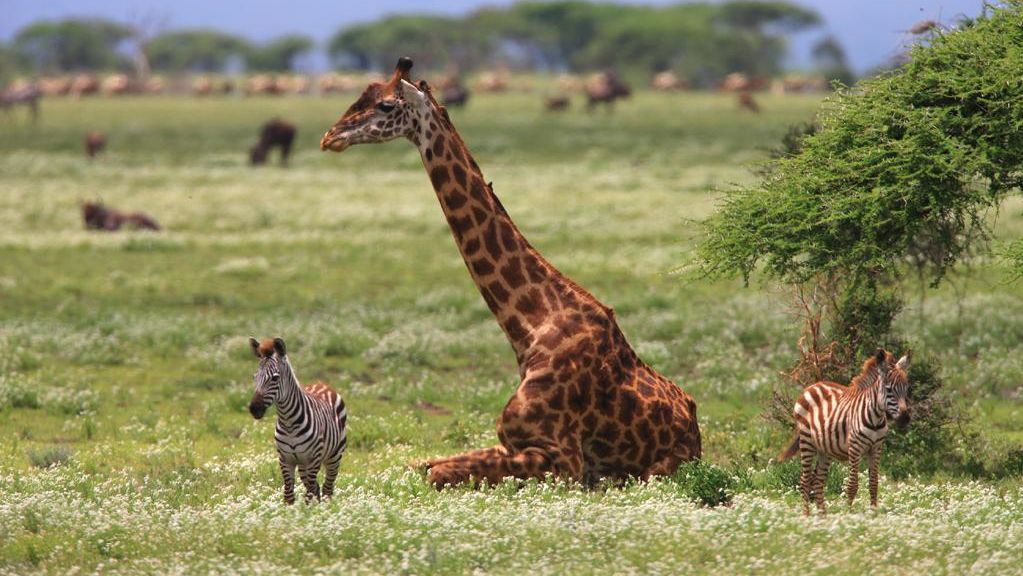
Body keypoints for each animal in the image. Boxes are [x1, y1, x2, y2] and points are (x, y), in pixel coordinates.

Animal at [247, 337, 347, 505]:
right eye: (255, 377)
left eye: (275, 378)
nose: (254, 408)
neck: (289, 423)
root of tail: (321, 384)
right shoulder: (285, 459)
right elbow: (289, 494)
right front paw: (292, 512)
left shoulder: (313, 459)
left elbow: (309, 495)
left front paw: (306, 512)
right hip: (302, 464)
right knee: (317, 487)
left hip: (334, 457)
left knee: (327, 488)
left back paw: (327, 507)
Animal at [319, 58, 703, 489]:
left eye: (385, 105)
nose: (330, 136)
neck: (529, 328)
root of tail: (696, 426)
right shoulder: (508, 442)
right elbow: (420, 465)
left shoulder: (565, 461)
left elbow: (437, 473)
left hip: (657, 469)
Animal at [777, 349, 916, 515]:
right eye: (888, 389)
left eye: (906, 388)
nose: (905, 418)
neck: (876, 419)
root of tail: (813, 385)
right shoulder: (854, 448)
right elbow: (852, 485)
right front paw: (848, 513)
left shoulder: (876, 448)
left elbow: (874, 483)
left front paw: (874, 513)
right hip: (806, 441)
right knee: (804, 480)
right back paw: (806, 515)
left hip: (825, 448)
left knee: (817, 481)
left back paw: (822, 516)